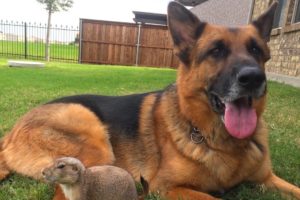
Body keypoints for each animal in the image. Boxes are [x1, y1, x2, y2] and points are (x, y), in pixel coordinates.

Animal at [0, 1, 300, 200]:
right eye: (216, 51)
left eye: (256, 50)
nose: (254, 78)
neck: (220, 141)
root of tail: (11, 133)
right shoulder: (168, 187)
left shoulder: (268, 179)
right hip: (94, 145)